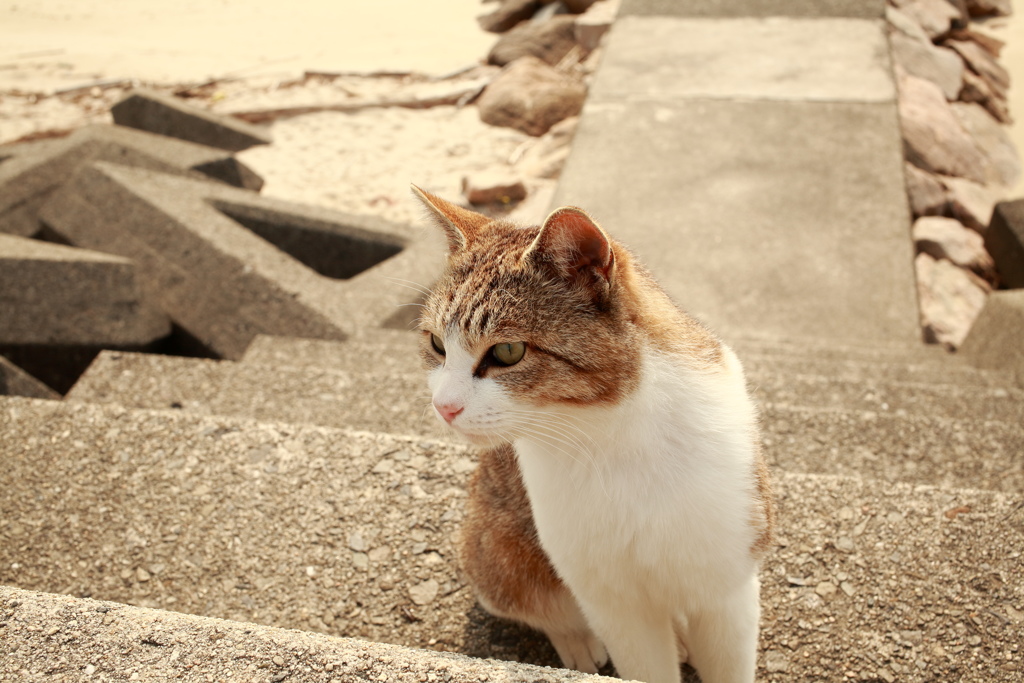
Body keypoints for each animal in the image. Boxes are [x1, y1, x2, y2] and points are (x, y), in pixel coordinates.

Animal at [411, 185, 770, 683]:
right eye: (436, 346)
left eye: (508, 351)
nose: (444, 407)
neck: (615, 434)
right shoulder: (613, 601)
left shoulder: (727, 581)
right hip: (496, 553)